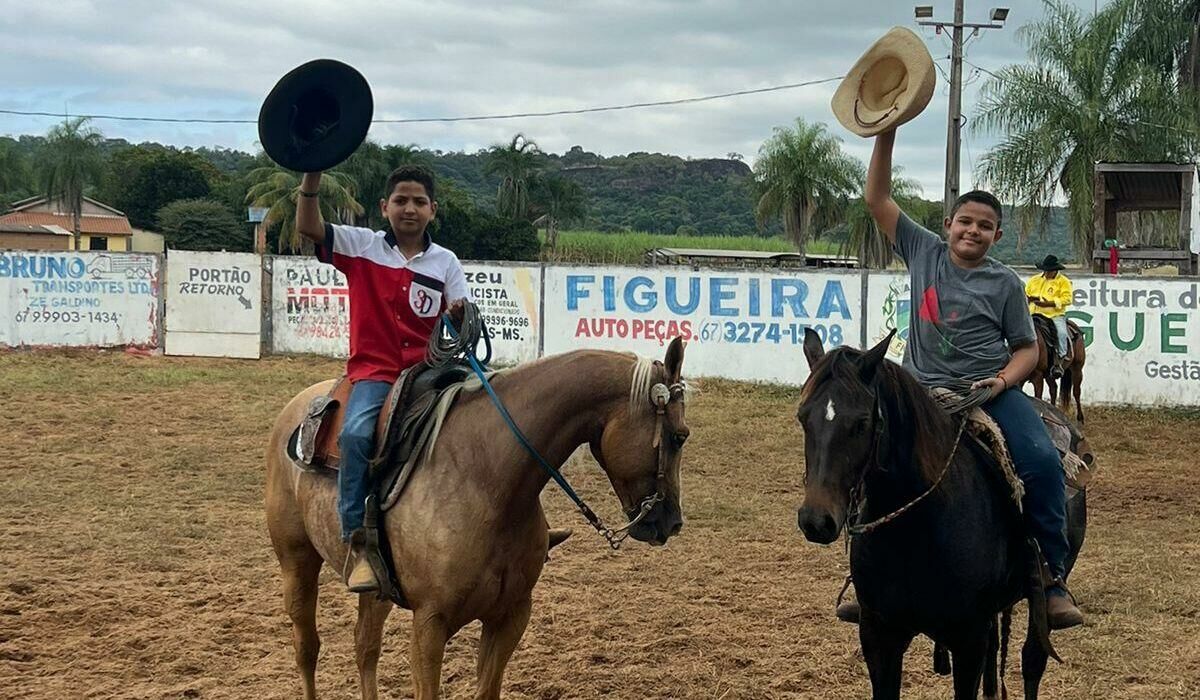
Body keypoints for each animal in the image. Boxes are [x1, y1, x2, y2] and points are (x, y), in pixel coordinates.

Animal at [266, 336, 691, 696]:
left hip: (374, 590)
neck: (487, 479)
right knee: (307, 647)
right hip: (296, 561)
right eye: (679, 436)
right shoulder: (429, 624)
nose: (671, 521)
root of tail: (298, 406)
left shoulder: (511, 615)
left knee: (364, 647)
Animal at [796, 333, 1089, 700]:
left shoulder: (968, 640)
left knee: (1032, 662)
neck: (914, 532)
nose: (816, 520)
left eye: (861, 422)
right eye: (802, 417)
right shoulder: (879, 637)